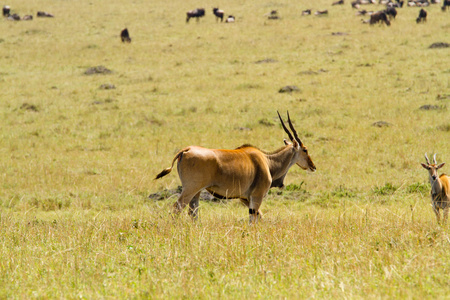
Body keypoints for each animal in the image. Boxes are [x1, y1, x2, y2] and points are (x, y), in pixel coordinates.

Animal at [155, 111, 316, 221]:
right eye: (305, 149)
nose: (313, 166)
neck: (267, 161)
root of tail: (186, 150)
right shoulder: (256, 197)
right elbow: (255, 219)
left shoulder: (245, 198)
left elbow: (259, 217)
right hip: (190, 189)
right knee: (177, 208)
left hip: (197, 192)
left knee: (193, 212)